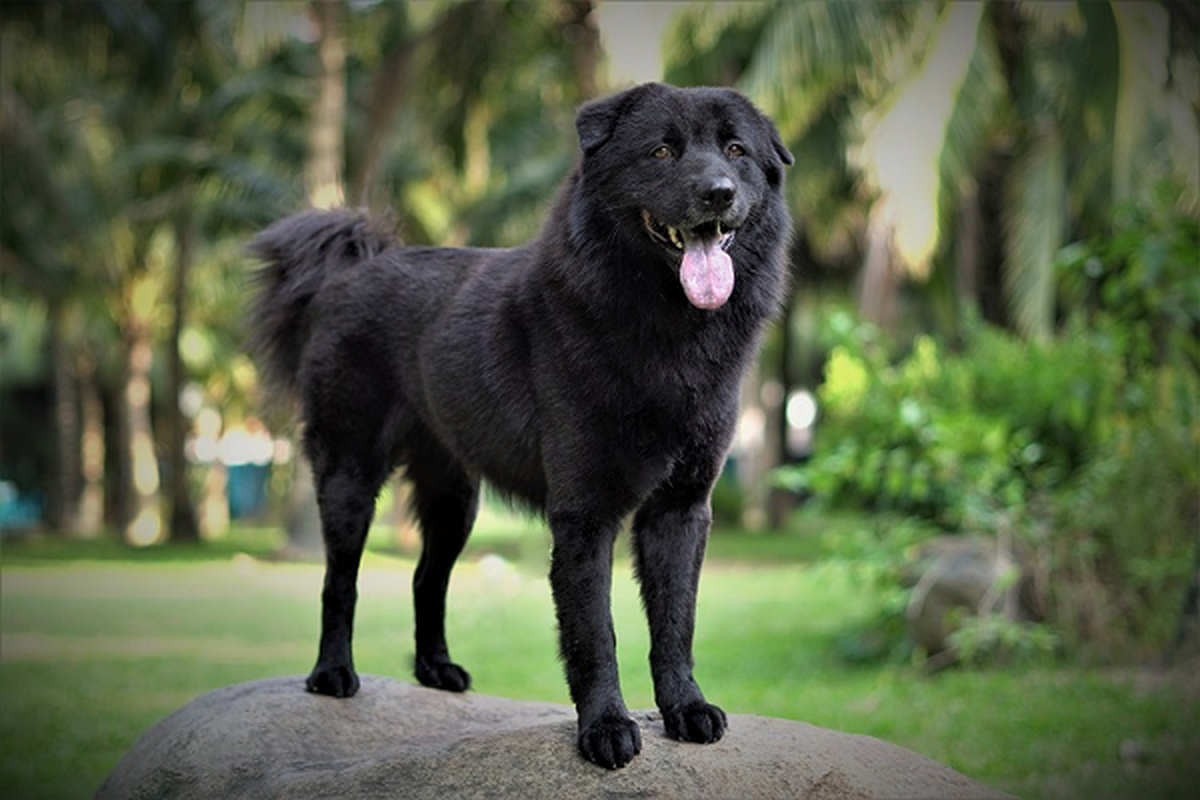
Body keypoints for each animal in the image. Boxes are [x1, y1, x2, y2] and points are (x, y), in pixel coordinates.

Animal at [248, 82, 792, 767]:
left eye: (736, 150)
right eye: (663, 150)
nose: (718, 192)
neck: (667, 333)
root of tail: (351, 270)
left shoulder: (681, 510)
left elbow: (675, 622)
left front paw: (687, 709)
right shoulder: (584, 515)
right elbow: (594, 631)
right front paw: (605, 729)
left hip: (455, 499)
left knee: (427, 577)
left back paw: (436, 671)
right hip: (350, 473)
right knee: (338, 580)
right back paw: (332, 675)